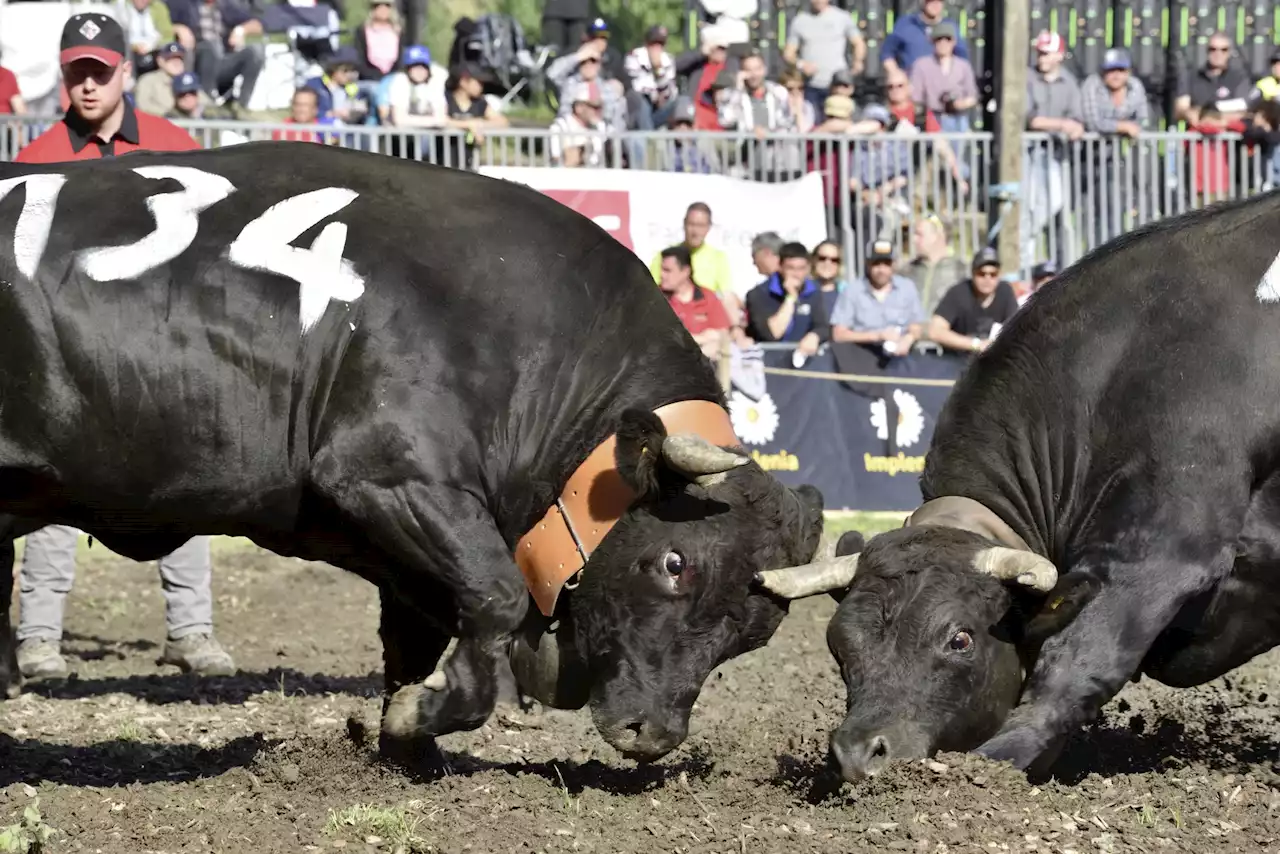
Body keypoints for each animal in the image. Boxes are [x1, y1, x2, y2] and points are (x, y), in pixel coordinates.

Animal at [0, 143, 819, 763]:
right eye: (674, 564)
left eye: (753, 632)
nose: (653, 733)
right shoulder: (387, 478)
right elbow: (495, 597)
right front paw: (419, 716)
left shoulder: (409, 550)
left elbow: (417, 640)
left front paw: (411, 741)